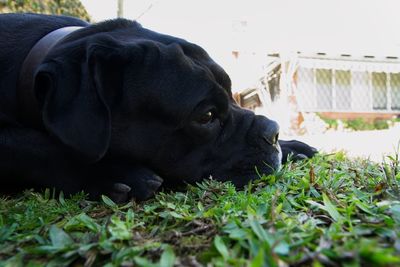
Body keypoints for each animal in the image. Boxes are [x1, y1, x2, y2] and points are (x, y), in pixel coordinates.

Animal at [0, 14, 316, 203]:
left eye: (232, 94)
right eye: (207, 116)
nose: (273, 132)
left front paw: (293, 147)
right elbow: (30, 145)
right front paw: (113, 172)